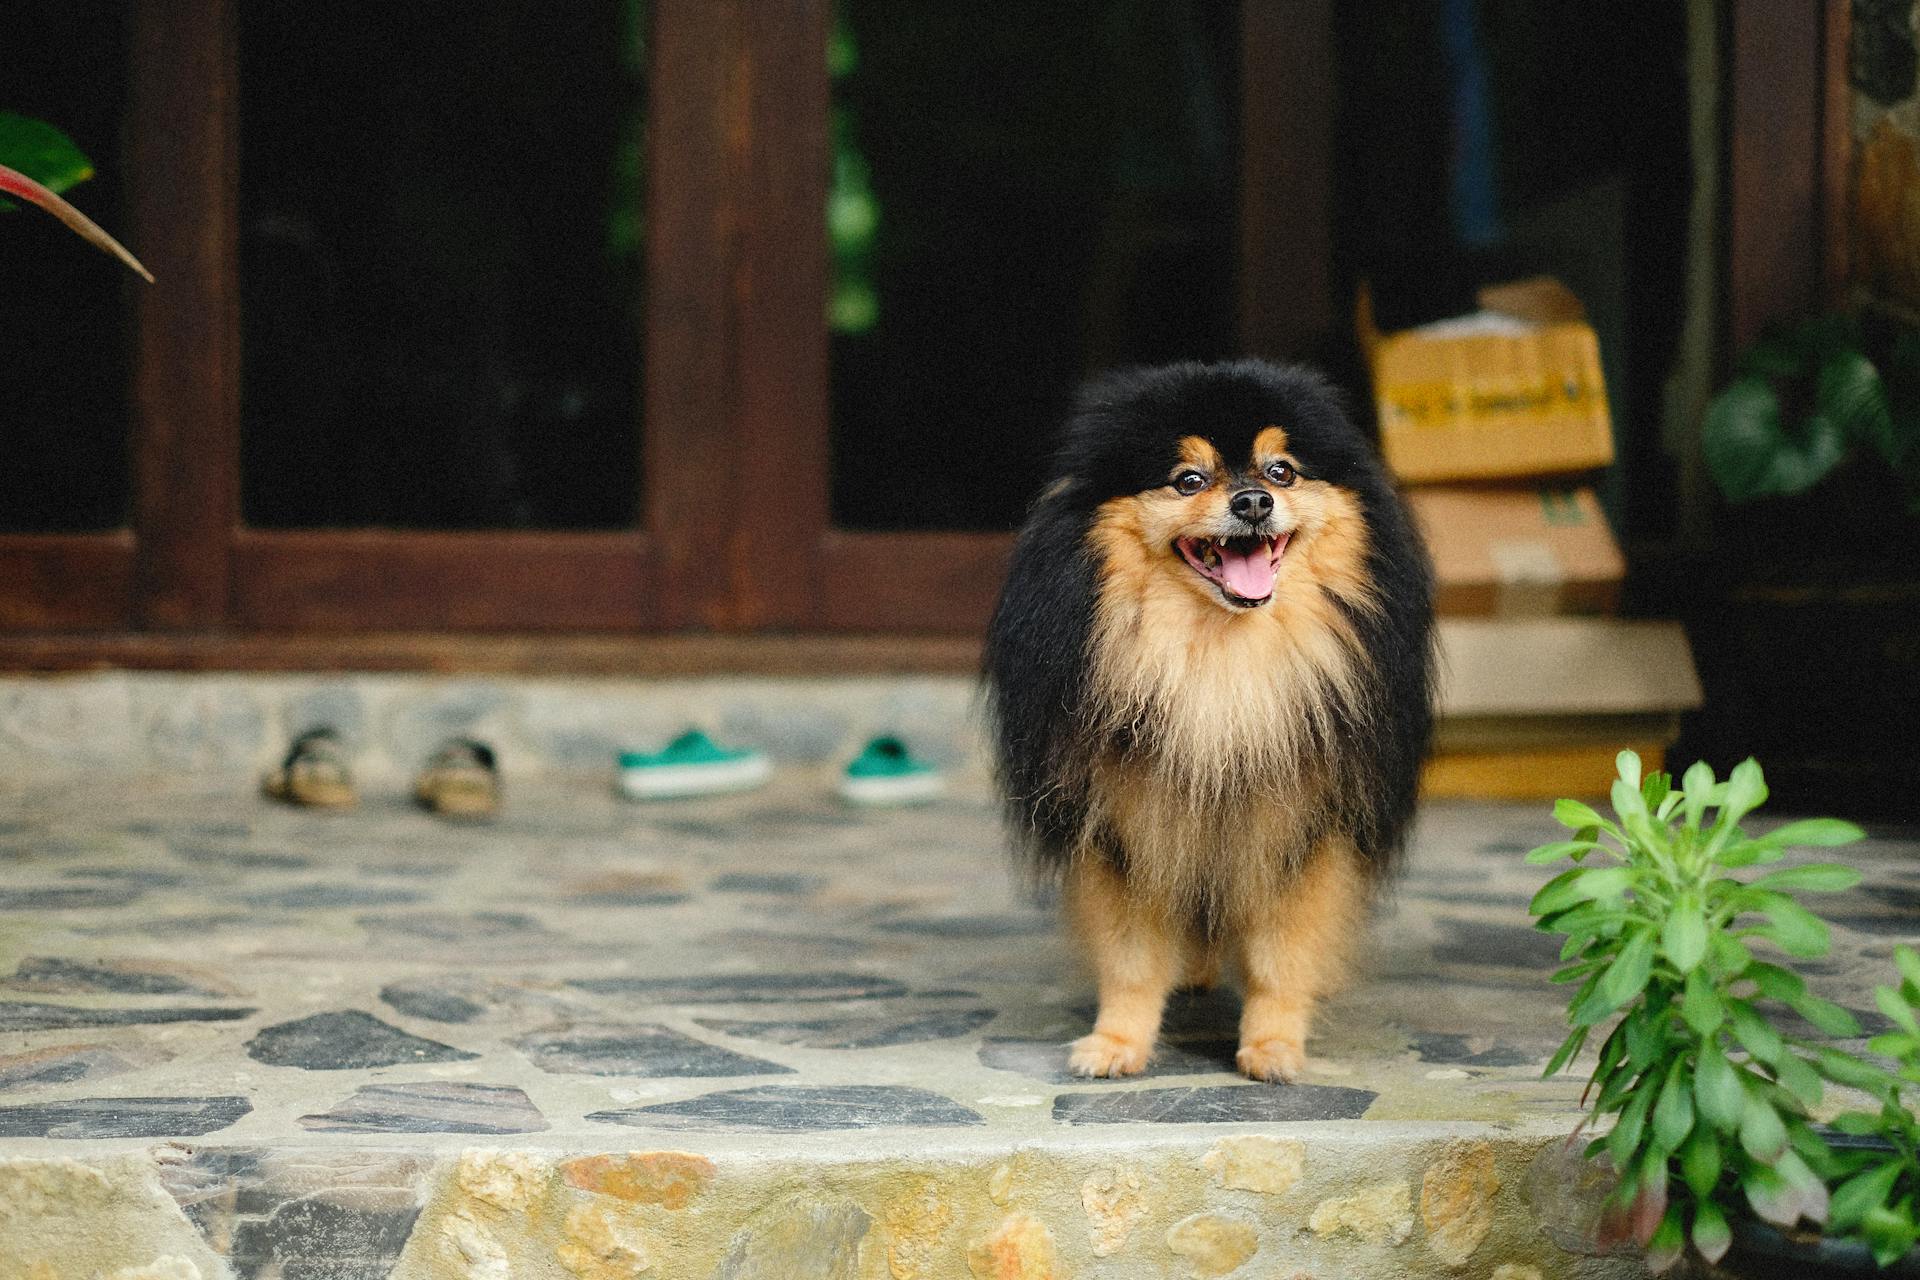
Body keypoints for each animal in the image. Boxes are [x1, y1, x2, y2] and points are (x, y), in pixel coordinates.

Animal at [990, 358, 1428, 1082]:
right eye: (1188, 480)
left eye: (1281, 471)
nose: (1252, 502)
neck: (1221, 668)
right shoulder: (1129, 824)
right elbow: (1132, 957)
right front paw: (1116, 1043)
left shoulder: (1300, 827)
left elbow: (1282, 952)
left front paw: (1274, 1046)